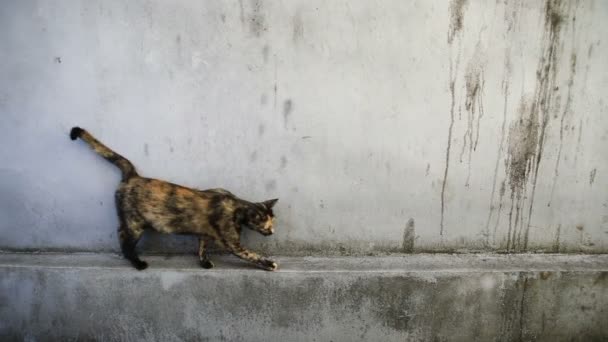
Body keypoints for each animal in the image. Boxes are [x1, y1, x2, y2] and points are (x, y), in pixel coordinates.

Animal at [70, 127, 280, 272]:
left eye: (273, 223)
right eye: (267, 224)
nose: (272, 232)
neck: (237, 207)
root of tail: (133, 175)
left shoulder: (204, 234)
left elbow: (202, 247)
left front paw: (204, 262)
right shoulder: (233, 243)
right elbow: (250, 254)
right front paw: (269, 263)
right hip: (134, 223)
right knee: (124, 241)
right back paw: (138, 263)